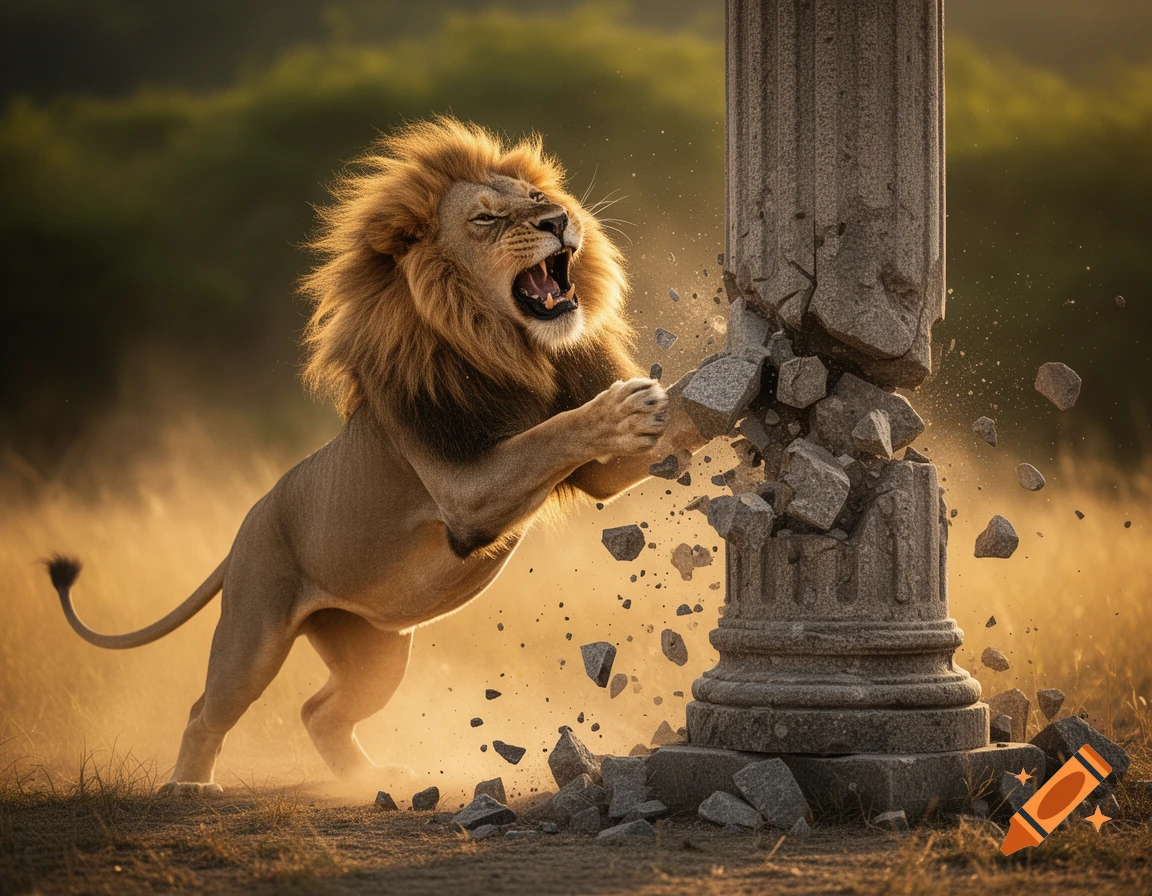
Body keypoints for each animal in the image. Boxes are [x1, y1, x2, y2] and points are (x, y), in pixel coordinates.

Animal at [46, 117, 706, 795]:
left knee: (318, 711)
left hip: (375, 652)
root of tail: (247, 525)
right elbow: (548, 435)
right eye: (486, 218)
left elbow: (674, 412)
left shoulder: (602, 471)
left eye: (535, 196)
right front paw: (617, 410)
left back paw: (368, 778)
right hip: (252, 634)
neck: (514, 350)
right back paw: (188, 785)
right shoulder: (464, 492)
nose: (559, 218)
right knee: (208, 708)